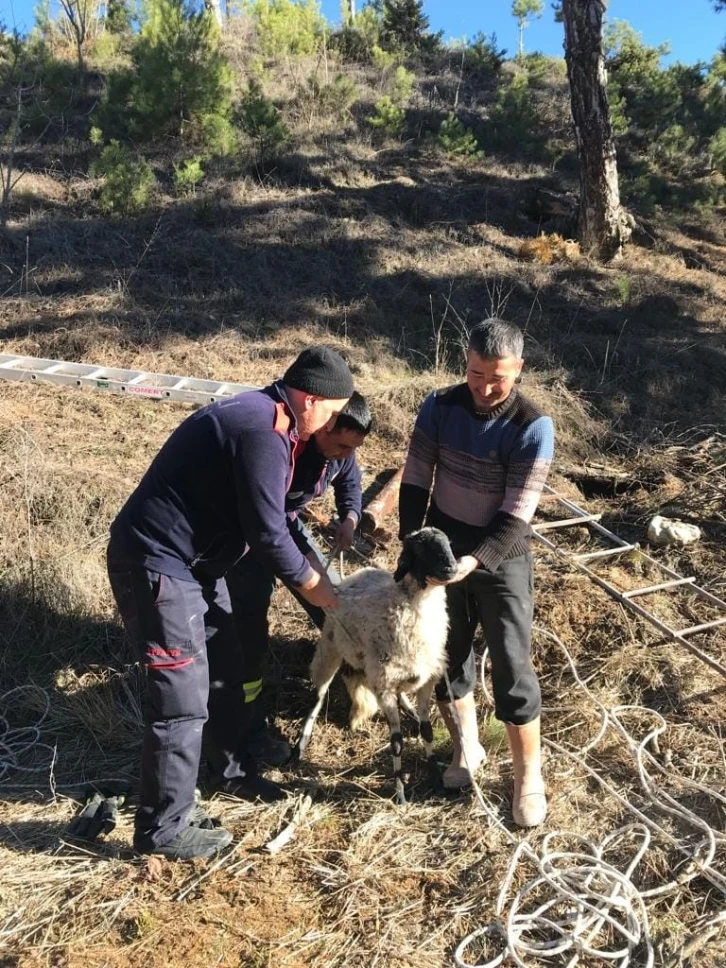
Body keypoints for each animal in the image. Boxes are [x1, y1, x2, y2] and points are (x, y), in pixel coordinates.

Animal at [294, 524, 456, 804]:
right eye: (421, 549)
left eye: (449, 544)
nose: (451, 567)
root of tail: (353, 577)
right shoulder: (385, 688)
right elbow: (397, 742)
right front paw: (400, 792)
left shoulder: (426, 682)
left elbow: (427, 731)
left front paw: (436, 773)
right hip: (330, 648)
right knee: (318, 694)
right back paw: (302, 741)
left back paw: (410, 711)